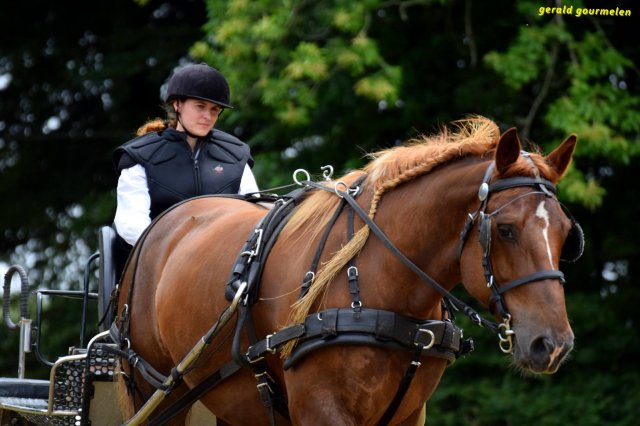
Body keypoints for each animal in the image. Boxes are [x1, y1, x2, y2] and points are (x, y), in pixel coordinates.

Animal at [113, 117, 579, 425]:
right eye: (505, 229)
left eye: (566, 233)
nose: (552, 344)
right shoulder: (321, 409)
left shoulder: (408, 414)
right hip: (153, 389)